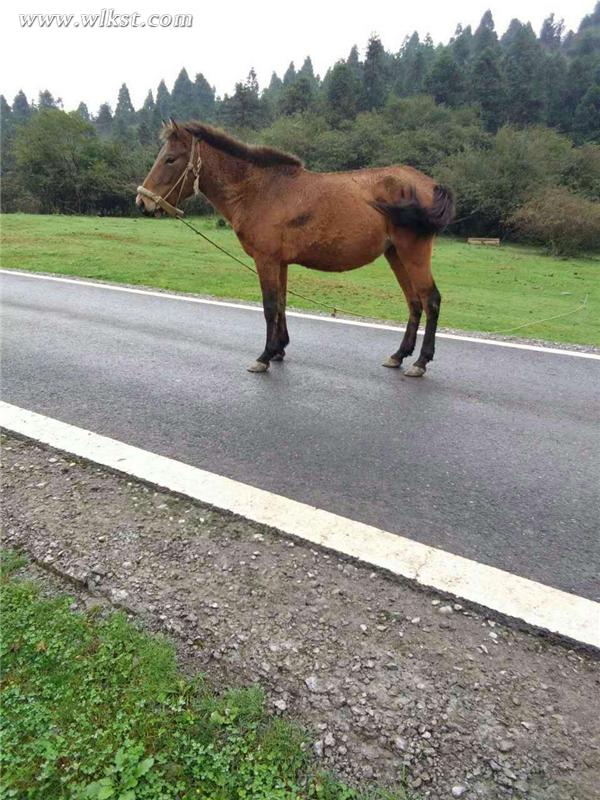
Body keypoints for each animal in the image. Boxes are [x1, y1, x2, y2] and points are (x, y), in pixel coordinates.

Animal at [137, 121, 454, 376]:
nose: (143, 202)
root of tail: (429, 184)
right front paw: (279, 349)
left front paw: (264, 356)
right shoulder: (281, 262)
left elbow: (269, 306)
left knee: (431, 301)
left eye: (170, 159)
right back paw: (399, 355)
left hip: (412, 253)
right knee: (414, 302)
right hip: (395, 254)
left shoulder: (265, 259)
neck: (259, 190)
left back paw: (420, 362)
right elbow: (281, 303)